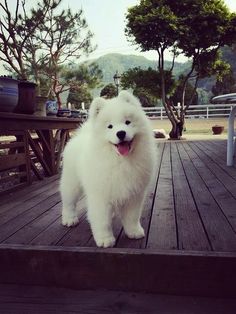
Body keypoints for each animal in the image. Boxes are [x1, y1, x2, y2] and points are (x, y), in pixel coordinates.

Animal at [60, 91, 156, 248]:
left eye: (127, 122)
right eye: (110, 126)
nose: (121, 133)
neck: (120, 161)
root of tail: (79, 136)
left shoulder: (134, 194)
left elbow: (132, 216)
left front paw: (134, 232)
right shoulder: (100, 195)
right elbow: (102, 221)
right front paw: (105, 240)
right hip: (72, 183)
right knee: (68, 202)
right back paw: (69, 219)